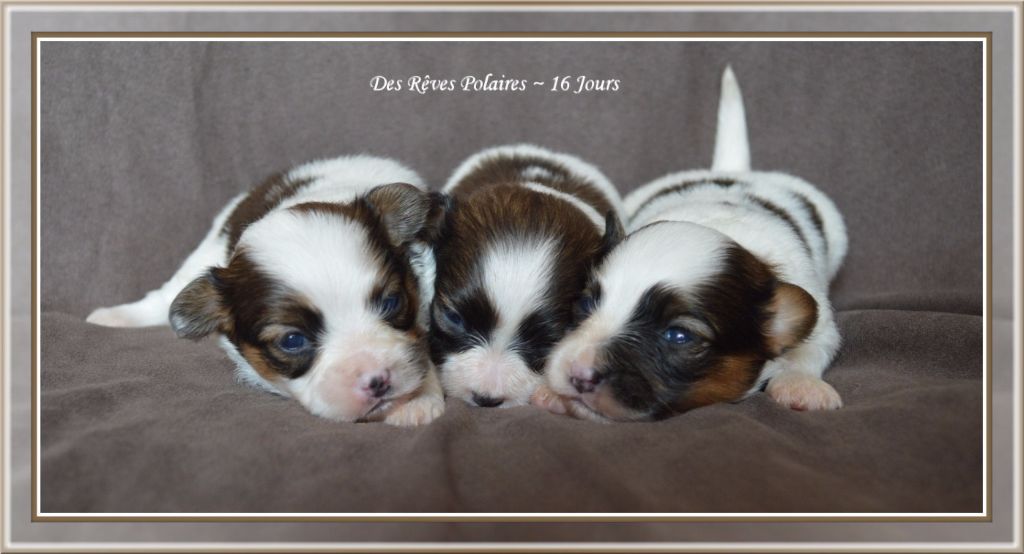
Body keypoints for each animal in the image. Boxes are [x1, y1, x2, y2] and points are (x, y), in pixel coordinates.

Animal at [91, 155, 448, 428]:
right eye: (292, 341)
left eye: (392, 302)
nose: (378, 380)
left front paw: (415, 399)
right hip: (204, 254)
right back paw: (113, 318)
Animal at [544, 66, 847, 419]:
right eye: (585, 304)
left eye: (678, 335)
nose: (578, 374)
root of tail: (733, 171)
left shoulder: (821, 320)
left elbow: (810, 349)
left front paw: (802, 385)